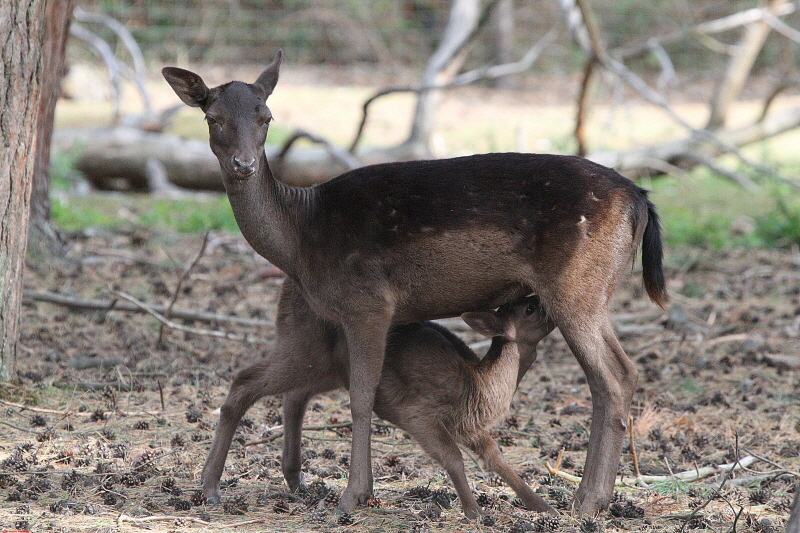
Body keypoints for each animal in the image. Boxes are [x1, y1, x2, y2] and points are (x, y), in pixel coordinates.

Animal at [159, 50, 664, 516]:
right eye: (212, 117)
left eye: (267, 117)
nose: (243, 164)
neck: (302, 240)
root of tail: (640, 199)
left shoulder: (367, 302)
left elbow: (362, 395)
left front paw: (354, 496)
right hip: (596, 292)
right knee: (623, 373)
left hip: (574, 286)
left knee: (610, 378)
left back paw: (588, 499)